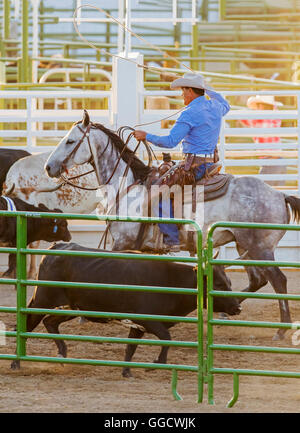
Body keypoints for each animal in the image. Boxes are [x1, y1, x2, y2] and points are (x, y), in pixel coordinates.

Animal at [44, 109, 300, 340]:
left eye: (70, 141)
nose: (48, 167)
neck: (126, 187)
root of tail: (279, 195)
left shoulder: (123, 242)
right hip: (243, 245)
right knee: (258, 280)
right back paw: (229, 308)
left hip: (260, 248)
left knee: (278, 280)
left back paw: (281, 330)